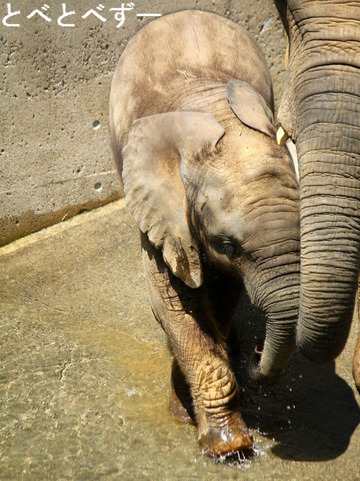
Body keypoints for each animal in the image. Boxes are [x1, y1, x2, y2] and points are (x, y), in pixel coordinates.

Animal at [110, 9, 300, 456]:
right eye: (229, 244)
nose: (256, 356)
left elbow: (222, 293)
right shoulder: (160, 210)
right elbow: (174, 303)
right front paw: (228, 447)